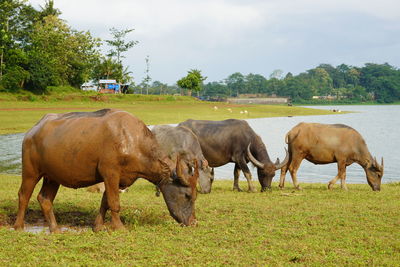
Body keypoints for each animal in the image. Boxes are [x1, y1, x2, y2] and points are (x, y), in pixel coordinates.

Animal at [13, 108, 198, 233]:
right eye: (187, 195)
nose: (193, 222)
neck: (134, 142)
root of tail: (32, 131)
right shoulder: (110, 173)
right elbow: (114, 203)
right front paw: (119, 227)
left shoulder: (117, 179)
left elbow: (105, 202)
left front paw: (98, 226)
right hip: (31, 172)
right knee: (24, 195)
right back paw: (18, 226)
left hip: (52, 177)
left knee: (44, 199)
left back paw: (55, 229)